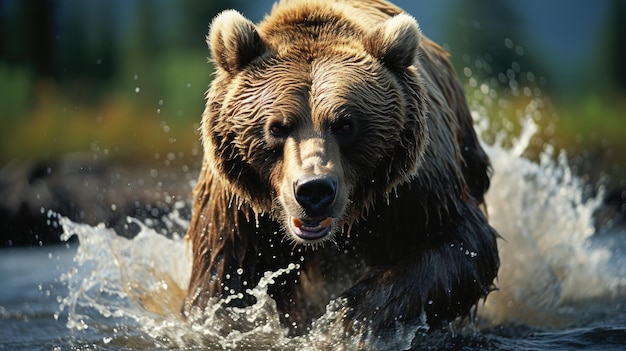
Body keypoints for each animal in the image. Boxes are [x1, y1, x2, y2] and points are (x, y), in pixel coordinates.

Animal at [179, 0, 498, 336]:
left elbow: (459, 243)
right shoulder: (238, 207)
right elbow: (224, 281)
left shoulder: (414, 188)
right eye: (277, 127)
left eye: (345, 124)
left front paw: (349, 317)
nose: (313, 190)